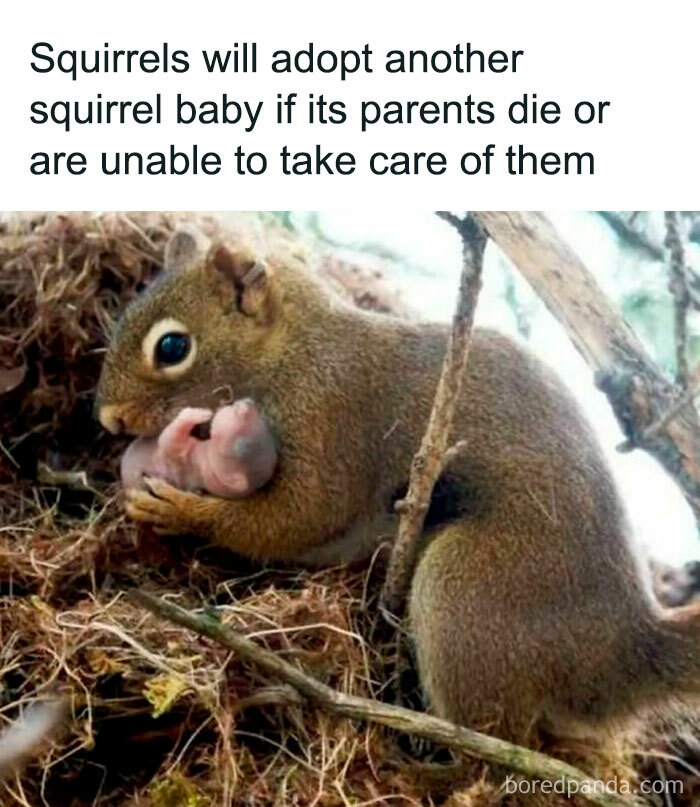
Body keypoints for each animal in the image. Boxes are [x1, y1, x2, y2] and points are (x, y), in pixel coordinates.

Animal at [96, 224, 700, 746]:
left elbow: (300, 516)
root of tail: (623, 650)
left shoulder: (331, 416)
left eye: (172, 348)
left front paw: (180, 510)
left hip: (470, 587)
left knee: (496, 743)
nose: (109, 420)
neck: (294, 352)